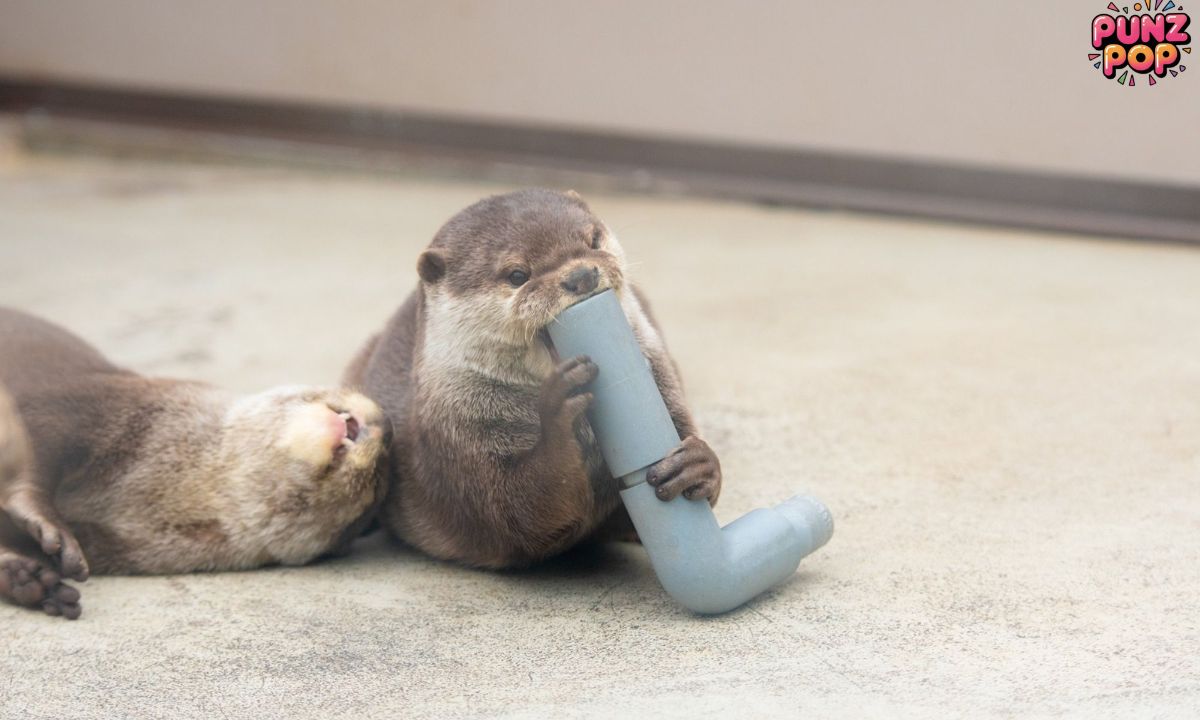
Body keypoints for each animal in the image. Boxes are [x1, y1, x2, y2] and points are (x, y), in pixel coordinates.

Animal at [0, 308, 389, 619]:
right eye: (380, 476)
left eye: (373, 486)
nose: (386, 430)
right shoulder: (71, 405)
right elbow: (34, 447)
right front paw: (47, 528)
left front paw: (30, 581)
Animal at [344, 189, 721, 569]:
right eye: (517, 274)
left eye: (593, 240)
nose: (581, 275)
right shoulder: (457, 446)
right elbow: (517, 513)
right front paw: (557, 413)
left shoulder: (662, 379)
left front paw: (699, 463)